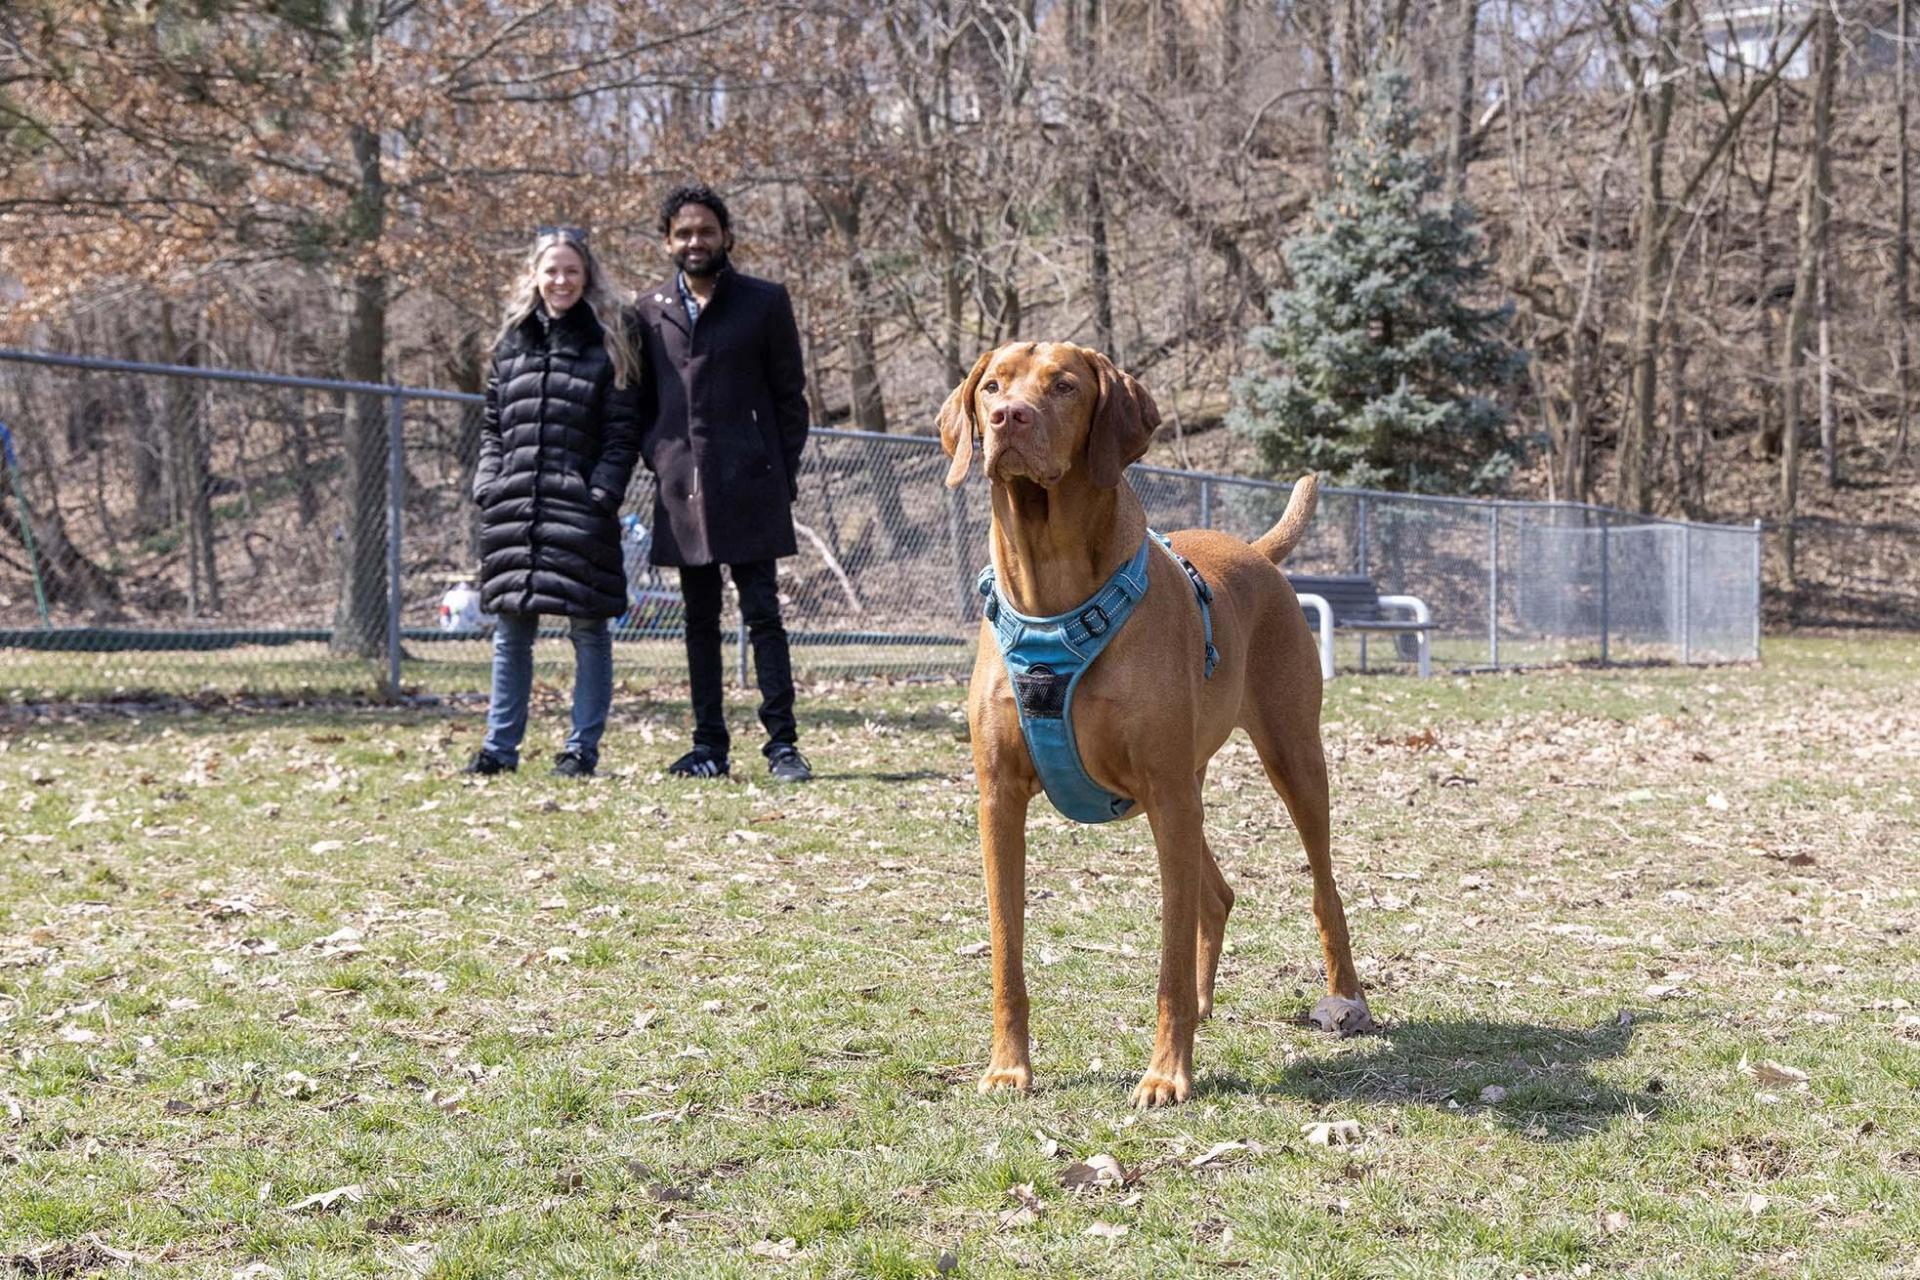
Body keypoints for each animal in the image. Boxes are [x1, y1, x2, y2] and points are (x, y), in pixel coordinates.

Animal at [936, 343, 1374, 1113]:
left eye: (1064, 386)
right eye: (991, 385)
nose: (1008, 418)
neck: (1052, 597)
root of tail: (1254, 550)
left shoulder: (1166, 792)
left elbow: (1166, 961)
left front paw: (1167, 1075)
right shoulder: (1000, 798)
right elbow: (1006, 955)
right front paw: (1008, 1068)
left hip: (1290, 758)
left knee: (1323, 889)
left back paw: (1346, 997)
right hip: (1180, 788)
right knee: (1217, 895)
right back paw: (1206, 1003)